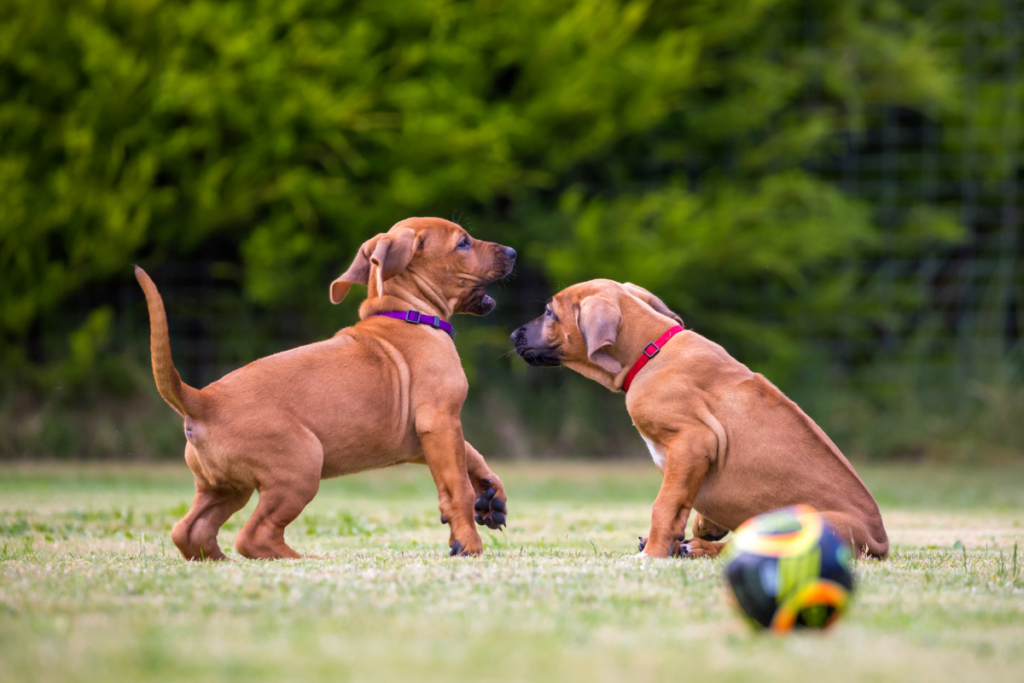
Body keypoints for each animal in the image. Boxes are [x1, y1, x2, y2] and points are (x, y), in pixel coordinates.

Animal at [138, 218, 512, 561]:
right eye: (463, 243)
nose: (512, 252)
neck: (408, 312)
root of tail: (202, 400)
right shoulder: (439, 421)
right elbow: (457, 486)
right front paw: (470, 542)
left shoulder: (424, 435)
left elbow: (471, 454)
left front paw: (491, 494)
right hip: (300, 467)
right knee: (252, 536)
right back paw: (302, 559)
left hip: (224, 488)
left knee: (189, 530)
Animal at [512, 278, 888, 561]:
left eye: (549, 312)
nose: (514, 335)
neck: (650, 354)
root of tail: (879, 539)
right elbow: (681, 505)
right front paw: (699, 526)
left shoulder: (693, 442)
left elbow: (664, 505)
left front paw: (652, 553)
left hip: (795, 521)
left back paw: (694, 548)